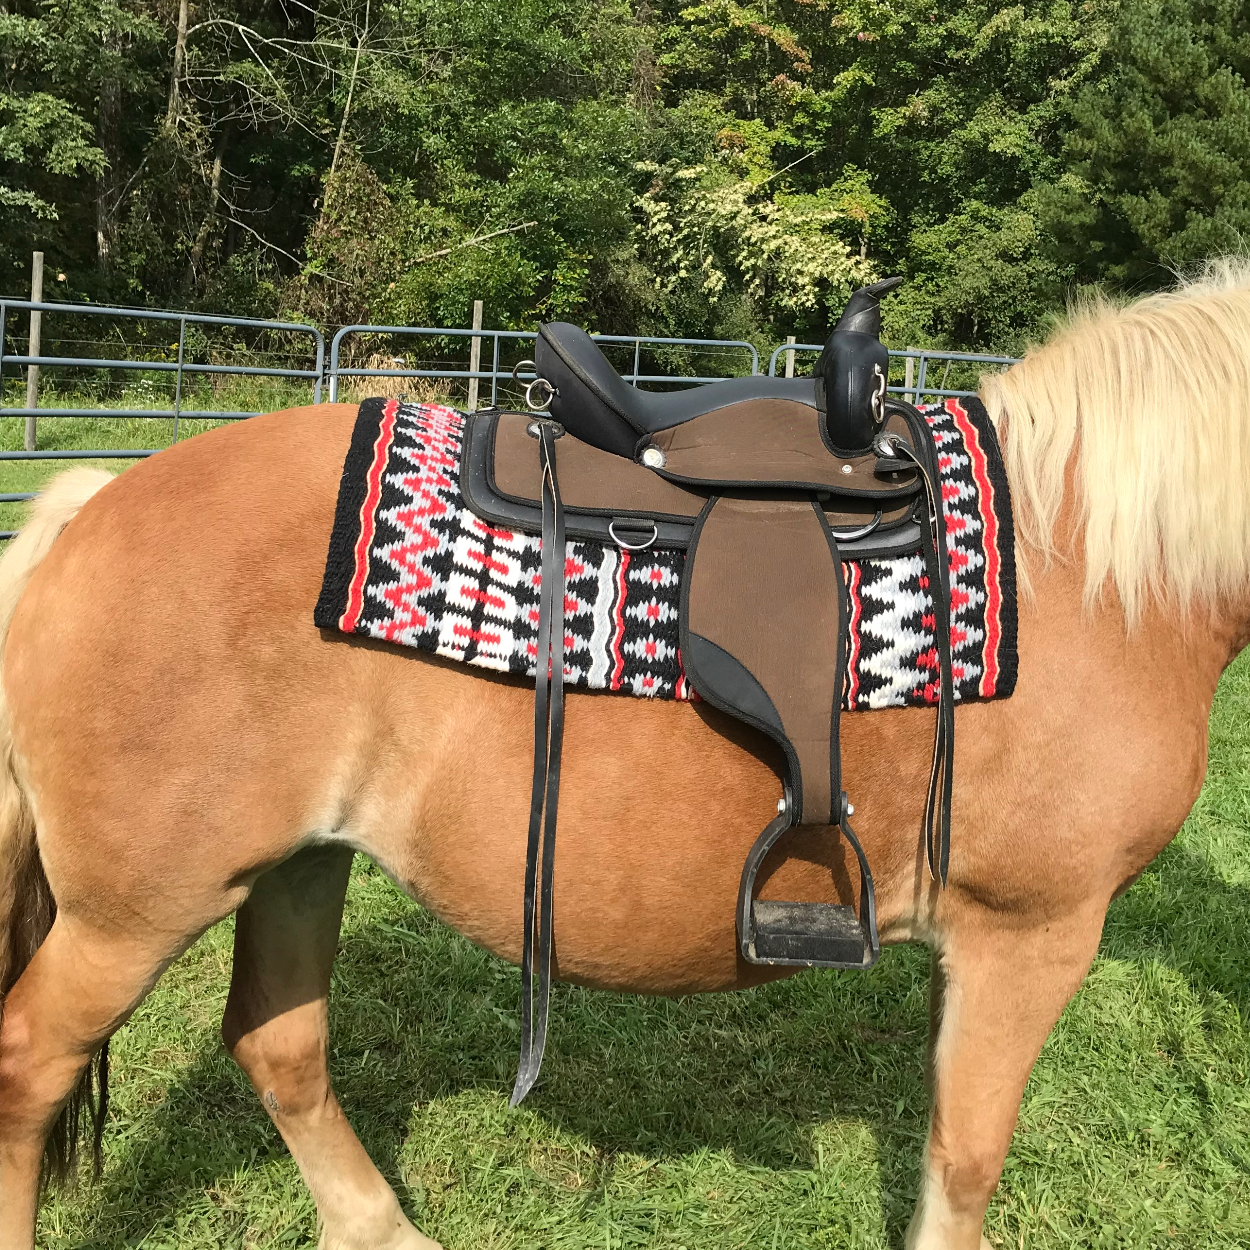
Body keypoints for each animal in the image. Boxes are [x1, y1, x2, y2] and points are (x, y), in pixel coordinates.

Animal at [0, 261, 1245, 1250]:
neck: (1099, 569)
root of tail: (90, 507)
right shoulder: (1030, 932)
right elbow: (968, 1155)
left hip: (295, 863)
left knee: (279, 1041)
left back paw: (379, 1226)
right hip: (136, 910)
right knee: (27, 1065)